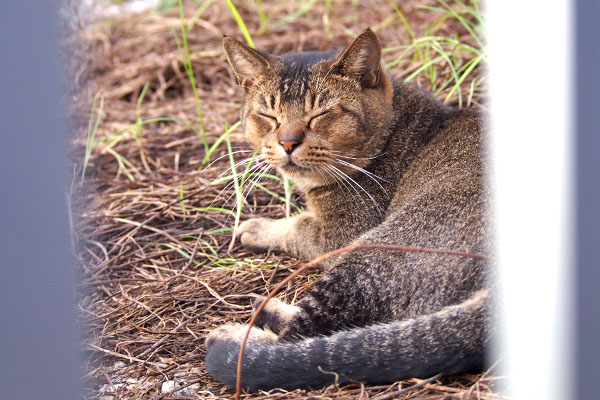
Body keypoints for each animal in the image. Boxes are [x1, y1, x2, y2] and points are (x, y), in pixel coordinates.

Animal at [205, 29, 492, 392]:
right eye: (268, 116)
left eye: (320, 115)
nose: (287, 143)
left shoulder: (340, 234)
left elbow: (298, 226)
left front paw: (256, 227)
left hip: (377, 254)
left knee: (304, 341)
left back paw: (235, 334)